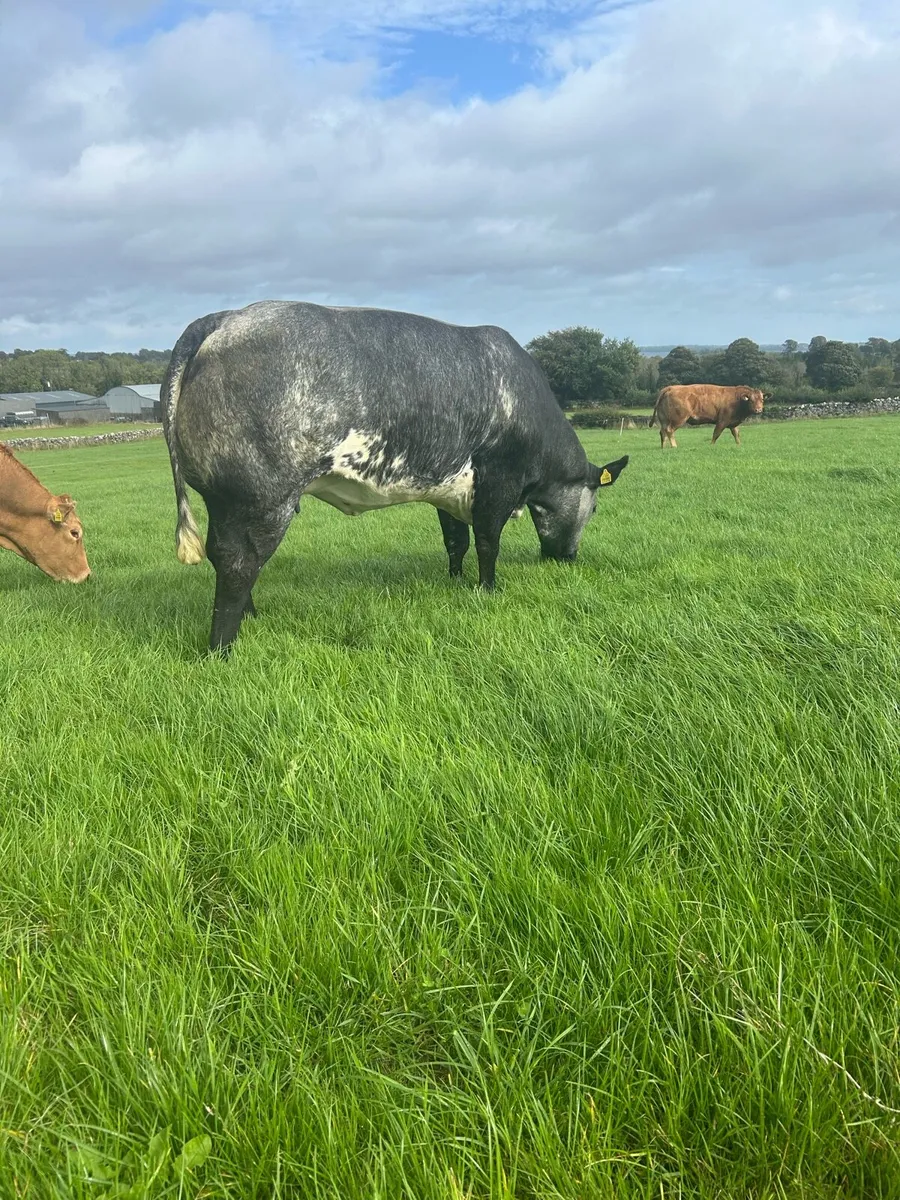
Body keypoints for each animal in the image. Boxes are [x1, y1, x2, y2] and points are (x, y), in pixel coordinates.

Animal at [161, 300, 629, 655]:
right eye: (596, 507)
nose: (567, 558)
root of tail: (224, 318)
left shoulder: (450, 491)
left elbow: (456, 541)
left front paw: (455, 581)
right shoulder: (499, 479)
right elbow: (487, 542)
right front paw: (489, 589)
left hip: (228, 500)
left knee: (228, 554)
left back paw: (251, 614)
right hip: (260, 495)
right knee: (237, 560)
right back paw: (223, 648)